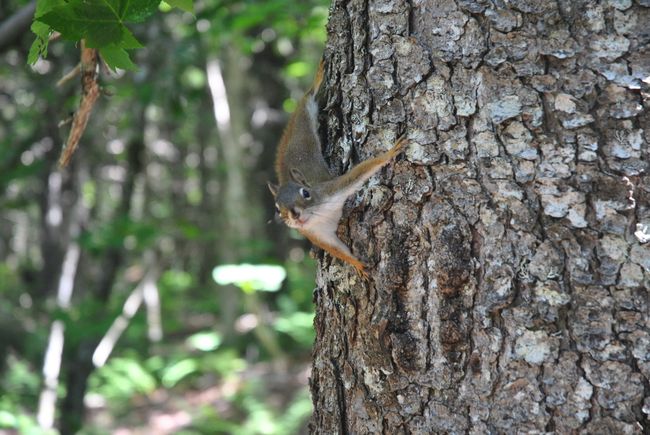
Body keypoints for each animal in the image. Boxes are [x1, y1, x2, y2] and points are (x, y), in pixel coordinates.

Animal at [266, 60, 402, 280]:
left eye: (306, 193)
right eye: (278, 209)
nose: (294, 215)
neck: (317, 215)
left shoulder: (332, 189)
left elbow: (357, 174)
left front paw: (388, 154)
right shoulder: (317, 235)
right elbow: (337, 250)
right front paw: (357, 264)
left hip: (304, 124)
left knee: (307, 98)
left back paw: (318, 77)